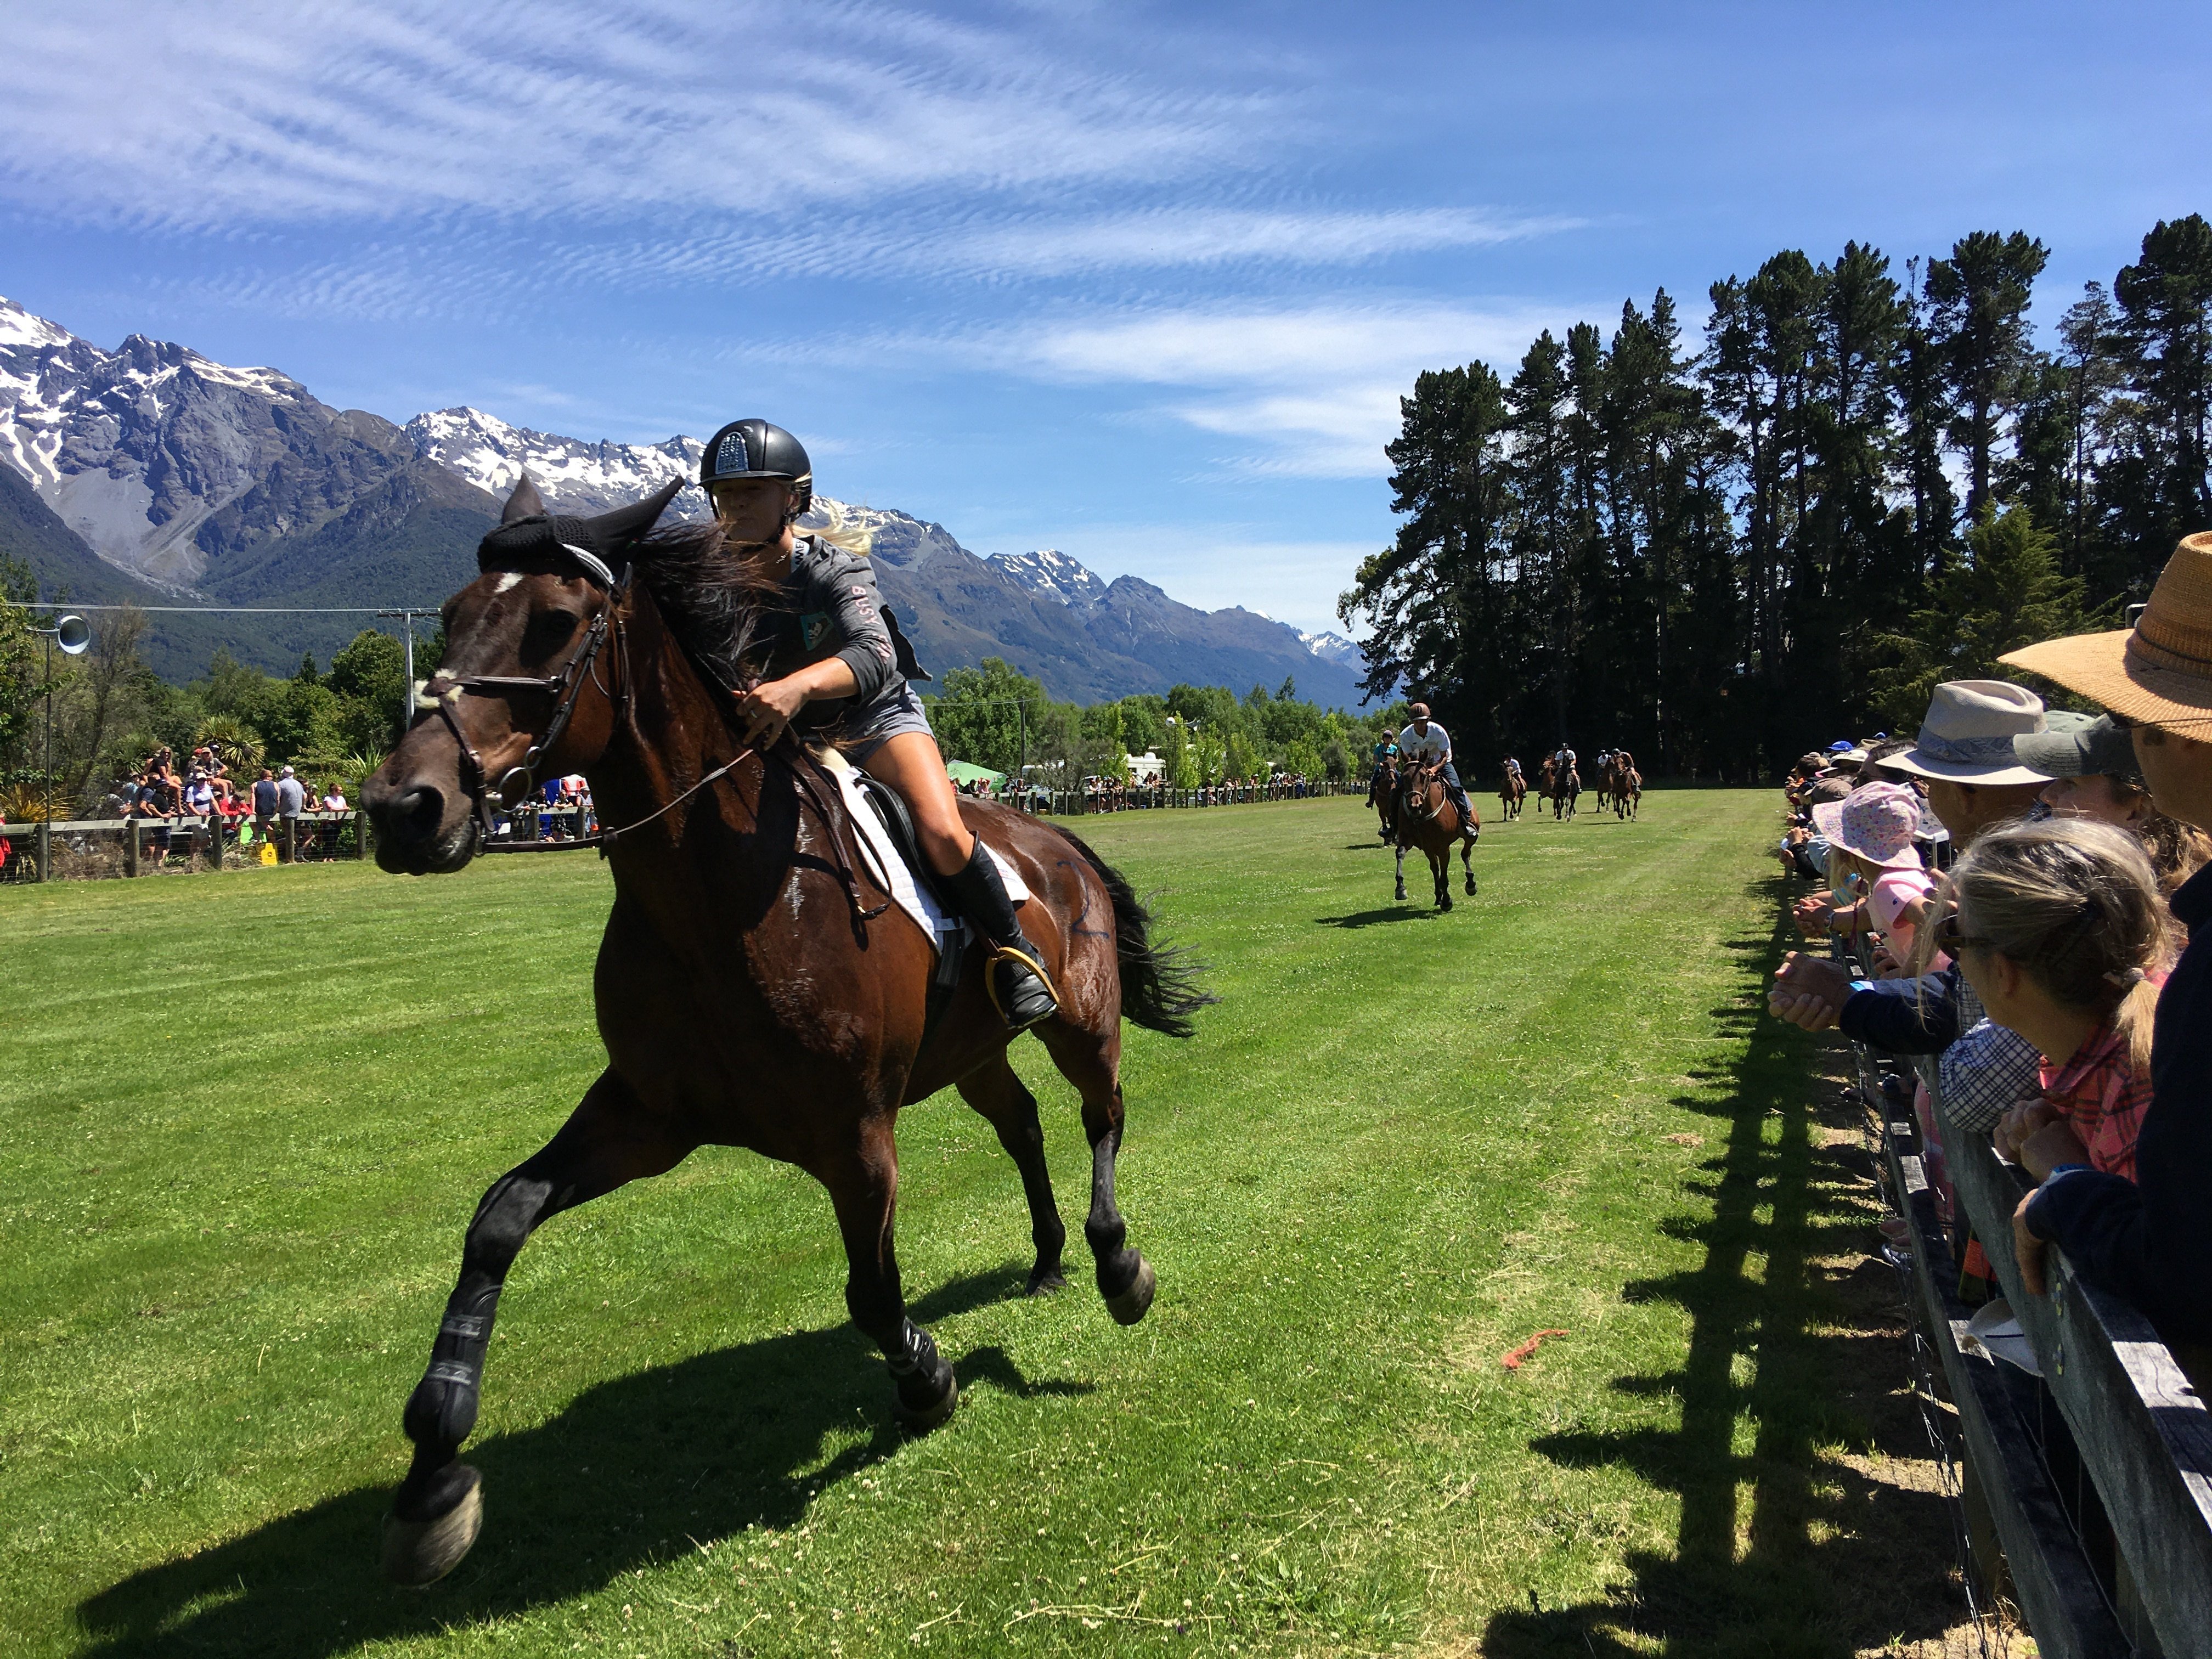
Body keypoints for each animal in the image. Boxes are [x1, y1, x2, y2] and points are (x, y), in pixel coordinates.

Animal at [360, 477, 1212, 1583]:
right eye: (454, 616)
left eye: (555, 621)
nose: (403, 807)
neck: (716, 900)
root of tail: (1050, 832)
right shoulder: (647, 1115)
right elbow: (499, 1217)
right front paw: (434, 1476)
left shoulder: (854, 1133)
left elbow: (872, 1291)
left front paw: (927, 1380)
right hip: (972, 1051)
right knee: (1023, 1124)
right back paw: (1047, 1254)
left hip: (1080, 1019)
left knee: (1100, 1114)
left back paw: (1114, 1263)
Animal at [1389, 765, 1477, 911]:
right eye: (1405, 777)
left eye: (1423, 776)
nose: (1415, 806)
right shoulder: (1409, 840)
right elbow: (1400, 854)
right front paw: (1400, 888)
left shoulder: (1444, 848)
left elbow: (1444, 876)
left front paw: (1447, 901)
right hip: (1429, 848)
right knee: (1435, 868)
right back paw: (1438, 896)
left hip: (1470, 834)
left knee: (1465, 853)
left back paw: (1470, 885)